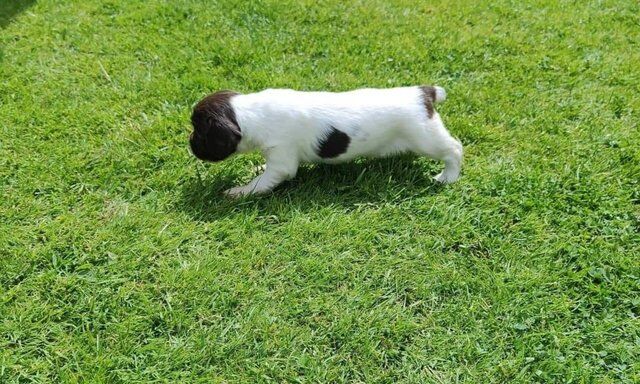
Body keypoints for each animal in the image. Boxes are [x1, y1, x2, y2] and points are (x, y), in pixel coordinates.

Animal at [188, 85, 462, 196]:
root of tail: (423, 93)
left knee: (454, 149)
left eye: (199, 132)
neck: (249, 112)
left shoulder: (282, 159)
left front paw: (238, 192)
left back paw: (447, 177)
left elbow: (260, 183)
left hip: (426, 137)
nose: (189, 143)